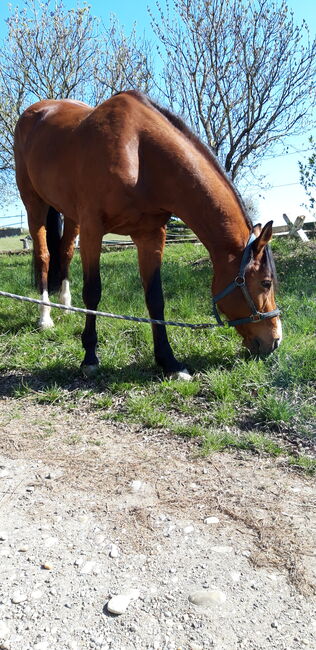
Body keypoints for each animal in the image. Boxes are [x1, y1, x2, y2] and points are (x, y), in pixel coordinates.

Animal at [13, 90, 282, 374]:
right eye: (266, 282)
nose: (275, 340)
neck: (139, 151)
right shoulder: (92, 230)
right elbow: (93, 292)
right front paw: (90, 358)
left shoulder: (150, 235)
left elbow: (155, 297)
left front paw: (169, 362)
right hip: (34, 205)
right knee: (44, 257)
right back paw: (45, 317)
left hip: (71, 214)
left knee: (64, 253)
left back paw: (65, 306)